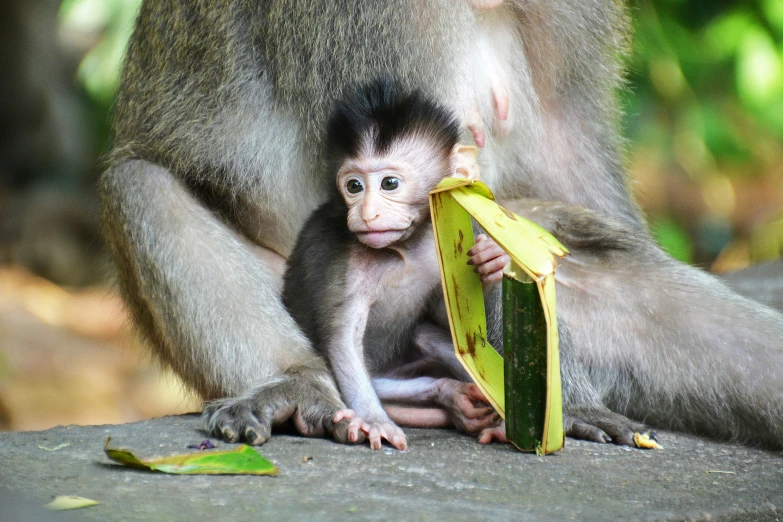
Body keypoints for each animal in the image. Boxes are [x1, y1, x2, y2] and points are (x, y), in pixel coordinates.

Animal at [284, 79, 508, 448]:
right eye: (354, 186)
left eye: (390, 184)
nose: (367, 213)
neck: (401, 249)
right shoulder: (343, 262)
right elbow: (343, 339)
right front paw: (374, 421)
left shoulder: (437, 248)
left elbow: (455, 325)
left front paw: (491, 263)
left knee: (428, 336)